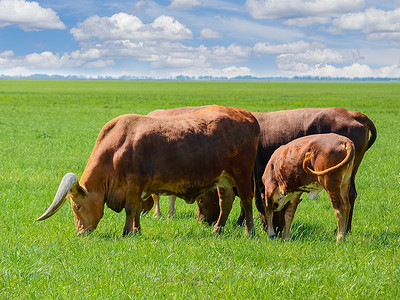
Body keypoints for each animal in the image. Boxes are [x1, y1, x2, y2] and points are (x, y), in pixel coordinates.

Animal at [37, 106, 260, 237]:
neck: (117, 147)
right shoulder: (140, 189)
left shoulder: (134, 185)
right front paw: (136, 230)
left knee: (246, 201)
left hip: (241, 175)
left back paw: (249, 231)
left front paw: (127, 232)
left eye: (77, 207)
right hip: (224, 179)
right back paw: (217, 230)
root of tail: (248, 116)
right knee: (226, 202)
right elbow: (136, 210)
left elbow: (130, 208)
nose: (81, 233)